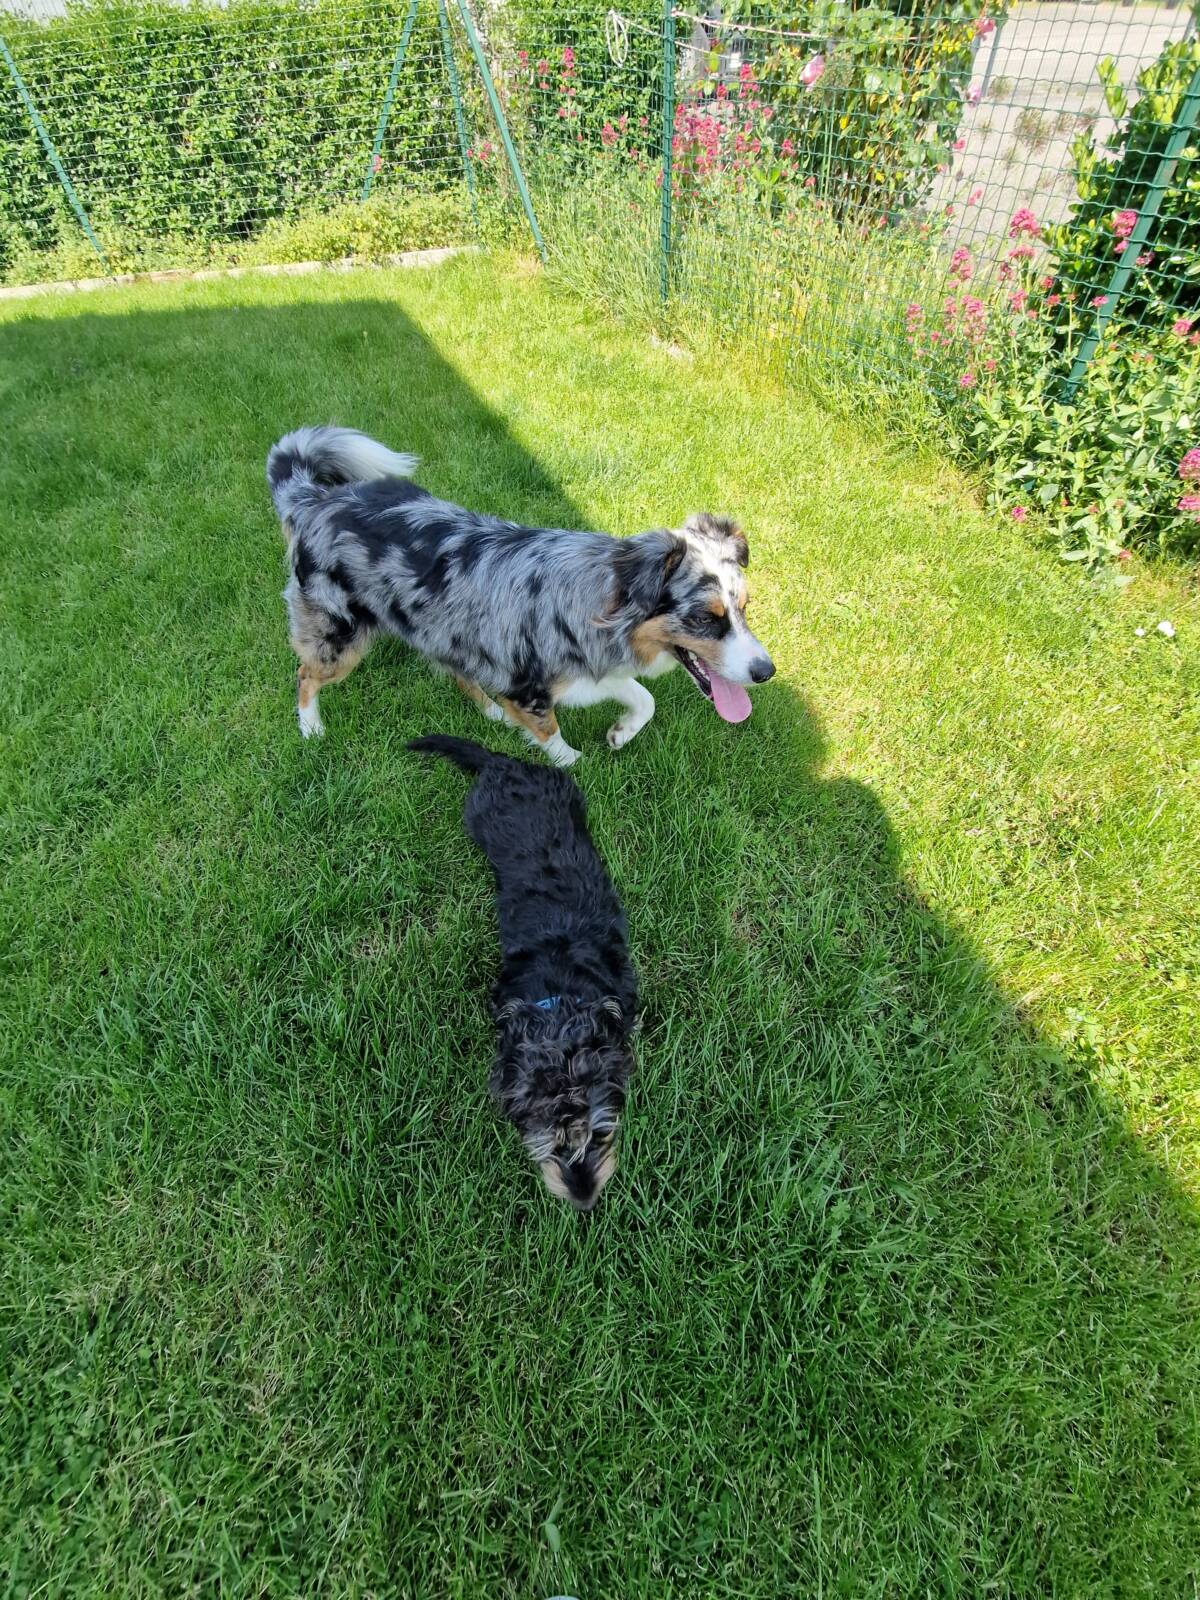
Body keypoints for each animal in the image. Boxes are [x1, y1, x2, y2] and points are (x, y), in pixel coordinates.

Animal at [267, 425, 774, 761]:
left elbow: (643, 698)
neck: (594, 606)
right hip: (339, 635)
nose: (767, 671)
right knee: (305, 673)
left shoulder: (593, 669)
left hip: (446, 630)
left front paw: (621, 732)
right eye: (706, 617)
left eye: (744, 609)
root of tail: (317, 500)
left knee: (457, 671)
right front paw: (574, 763)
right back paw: (311, 727)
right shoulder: (530, 688)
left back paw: (489, 711)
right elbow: (552, 736)